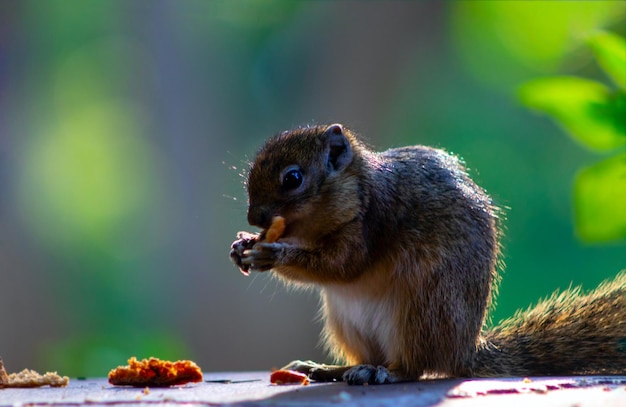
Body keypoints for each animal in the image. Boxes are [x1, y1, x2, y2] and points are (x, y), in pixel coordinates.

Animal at [229, 124, 624, 386]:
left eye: (293, 178)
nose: (253, 217)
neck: (357, 188)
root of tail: (464, 352)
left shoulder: (373, 222)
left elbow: (342, 266)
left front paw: (272, 253)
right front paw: (242, 245)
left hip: (423, 310)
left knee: (415, 366)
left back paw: (384, 372)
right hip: (348, 324)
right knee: (372, 357)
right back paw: (331, 370)